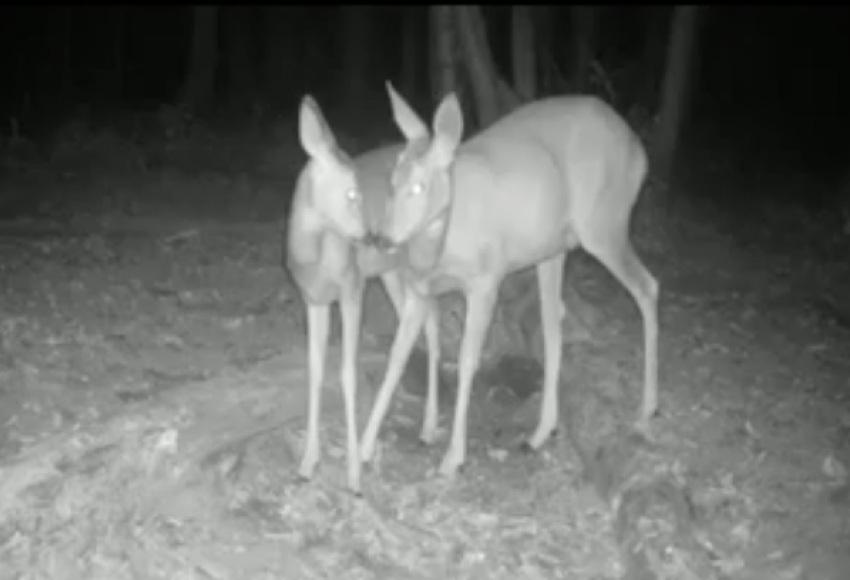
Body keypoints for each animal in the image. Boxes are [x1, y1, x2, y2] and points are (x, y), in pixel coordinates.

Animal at [286, 95, 444, 494]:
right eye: (350, 192)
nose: (370, 237)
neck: (314, 257)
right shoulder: (313, 299)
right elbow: (314, 369)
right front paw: (307, 463)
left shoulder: (352, 287)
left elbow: (347, 372)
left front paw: (353, 474)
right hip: (389, 272)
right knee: (421, 319)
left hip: (412, 265)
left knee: (427, 322)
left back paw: (420, 430)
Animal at [354, 82, 660, 480]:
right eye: (392, 181)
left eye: (419, 187)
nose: (383, 239)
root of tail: (639, 151)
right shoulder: (421, 288)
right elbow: (397, 354)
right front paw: (362, 450)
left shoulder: (487, 280)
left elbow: (468, 359)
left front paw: (453, 458)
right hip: (551, 250)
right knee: (553, 326)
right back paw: (540, 433)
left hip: (604, 224)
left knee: (648, 287)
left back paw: (646, 411)